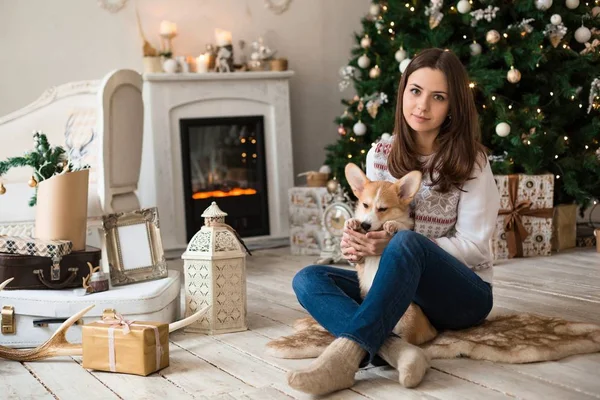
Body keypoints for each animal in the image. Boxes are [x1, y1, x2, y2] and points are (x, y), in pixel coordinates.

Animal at [344, 164, 438, 346]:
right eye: (365, 205)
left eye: (382, 209)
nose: (365, 225)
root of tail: (432, 329)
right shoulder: (360, 258)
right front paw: (352, 222)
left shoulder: (407, 227)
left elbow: (403, 226)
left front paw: (393, 224)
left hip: (408, 316)